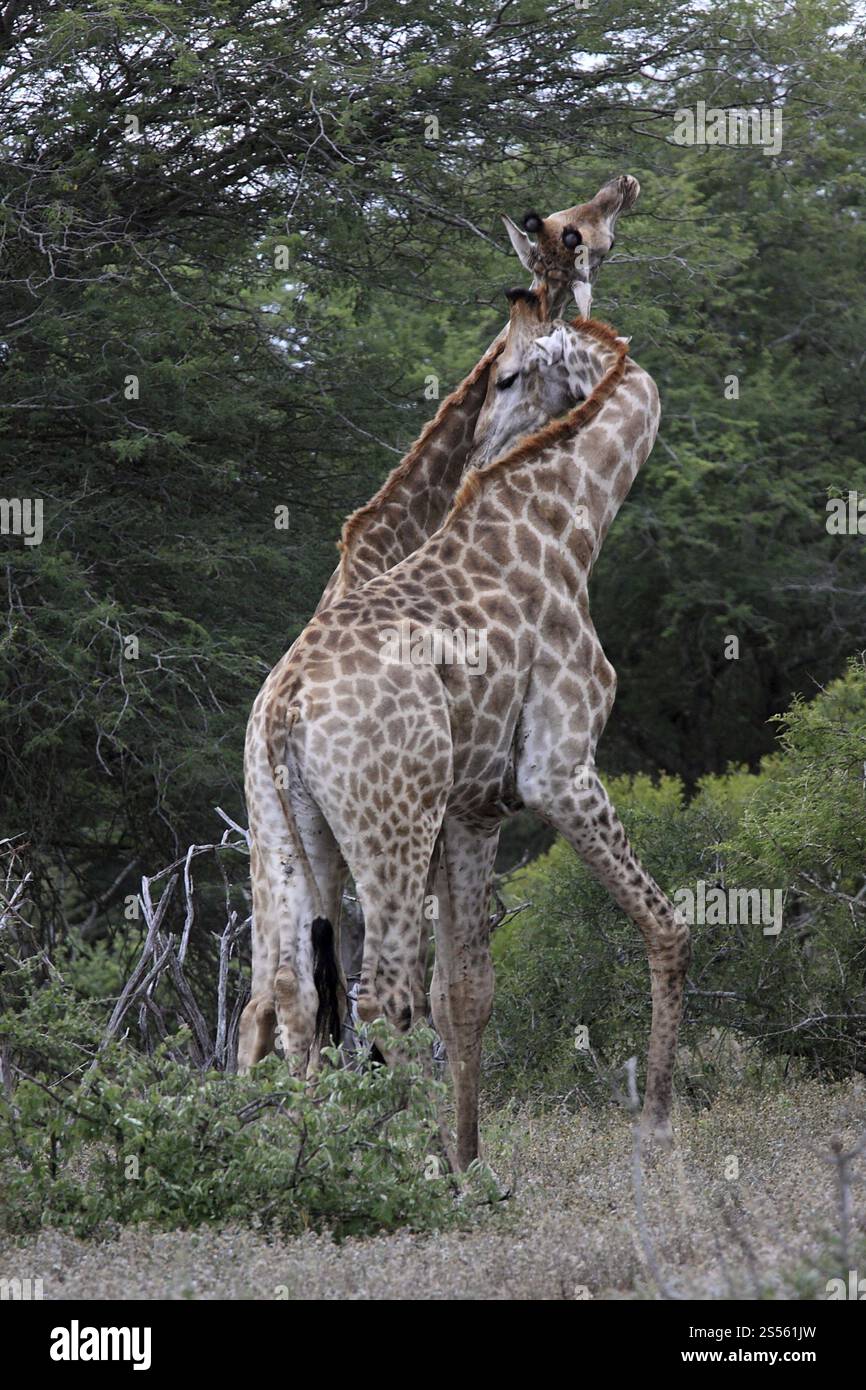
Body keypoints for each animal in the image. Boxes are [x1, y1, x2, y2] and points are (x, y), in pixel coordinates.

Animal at [244, 290, 690, 1169]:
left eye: (508, 376)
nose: (478, 450)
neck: (568, 524)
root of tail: (284, 708)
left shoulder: (470, 809)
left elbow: (466, 995)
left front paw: (470, 1155)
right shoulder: (555, 770)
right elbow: (664, 924)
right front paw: (656, 1125)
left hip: (286, 828)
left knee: (293, 995)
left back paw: (303, 1158)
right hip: (389, 826)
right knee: (378, 995)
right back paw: (393, 1164)